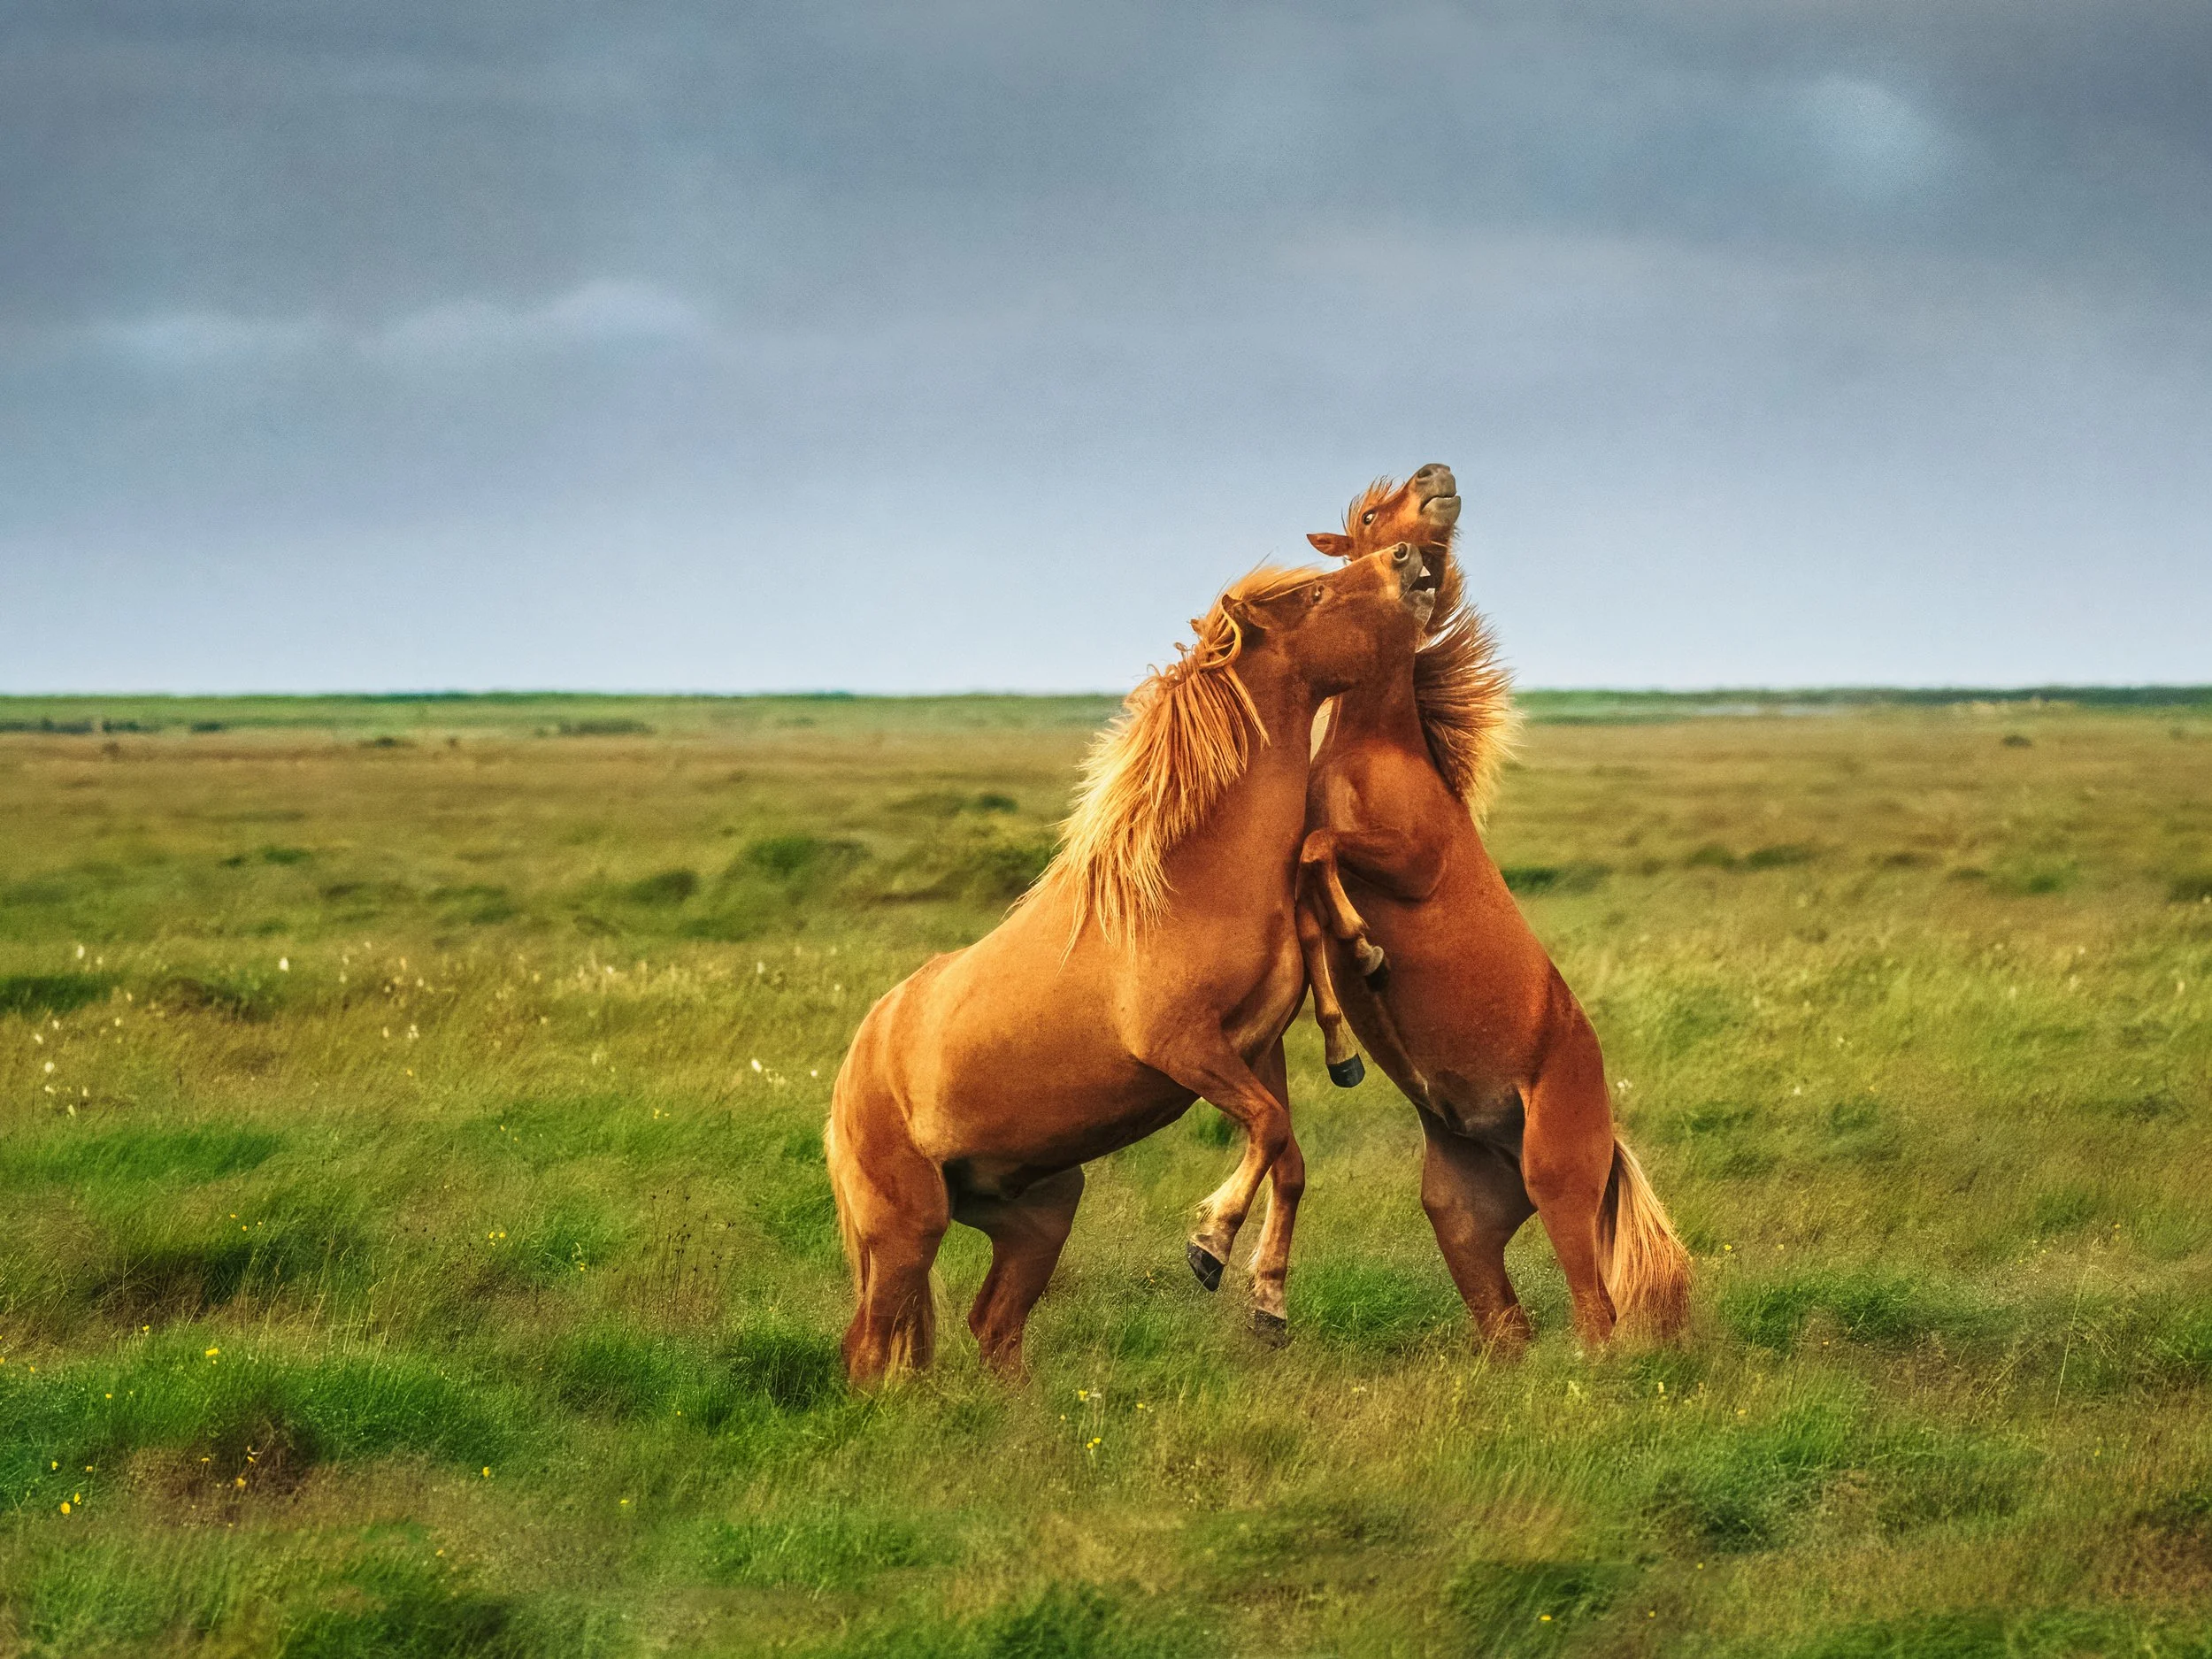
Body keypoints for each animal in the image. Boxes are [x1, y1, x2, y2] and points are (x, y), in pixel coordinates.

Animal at [827, 544, 1439, 1384]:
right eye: (1315, 593)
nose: (1407, 559)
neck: (1189, 884)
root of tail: (851, 1074)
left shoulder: (1257, 1049)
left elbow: (1286, 1154)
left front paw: (1267, 1301)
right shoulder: (1183, 1047)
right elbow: (1270, 1129)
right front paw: (1209, 1242)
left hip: (1040, 1213)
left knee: (994, 1326)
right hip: (905, 1226)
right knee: (869, 1344)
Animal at [1273, 464, 1691, 1348]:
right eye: (1370, 516)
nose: (1439, 477)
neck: (1375, 748)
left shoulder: (1410, 860)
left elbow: (1320, 851)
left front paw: (1365, 947)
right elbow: (1305, 880)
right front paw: (1341, 1027)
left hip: (1559, 1186)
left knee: (1596, 1315)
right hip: (1463, 1223)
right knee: (1511, 1331)